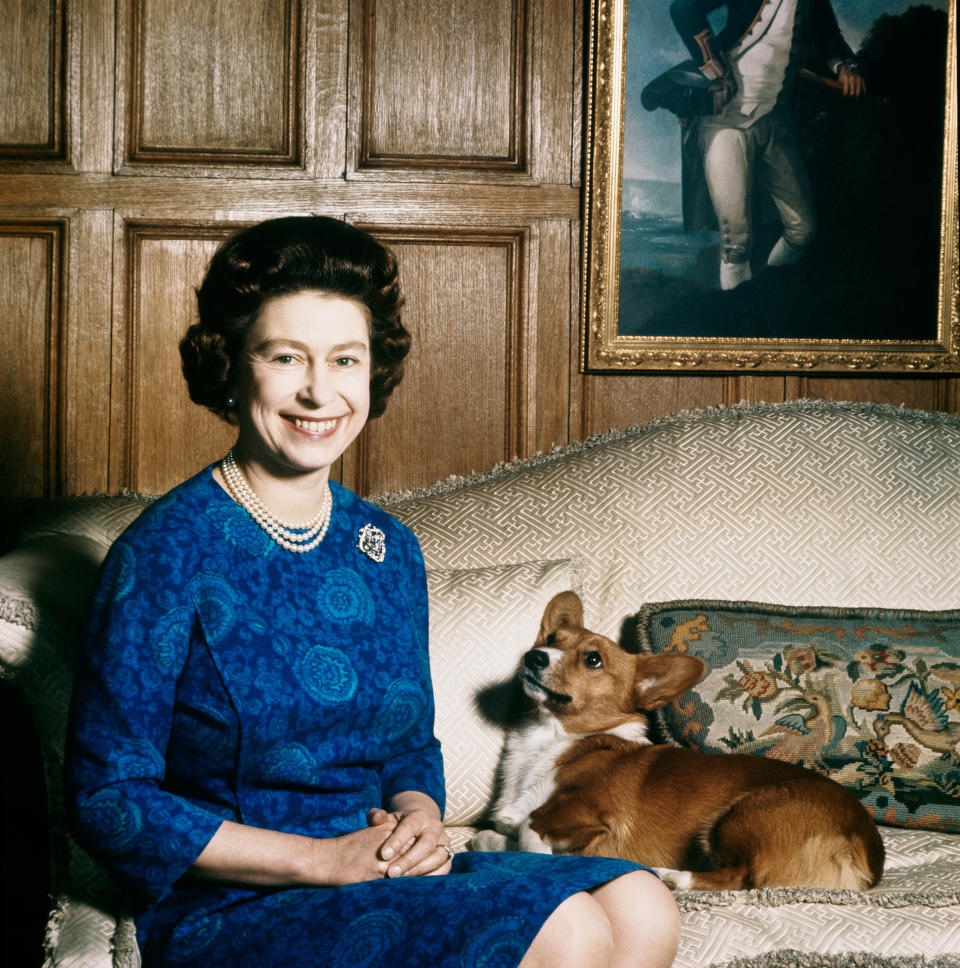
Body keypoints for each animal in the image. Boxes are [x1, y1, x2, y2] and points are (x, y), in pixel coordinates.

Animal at [472, 588, 884, 892]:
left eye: (593, 660)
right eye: (552, 638)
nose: (534, 656)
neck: (551, 740)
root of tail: (868, 854)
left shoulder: (592, 815)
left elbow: (529, 827)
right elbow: (491, 835)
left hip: (740, 813)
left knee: (739, 877)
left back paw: (670, 876)